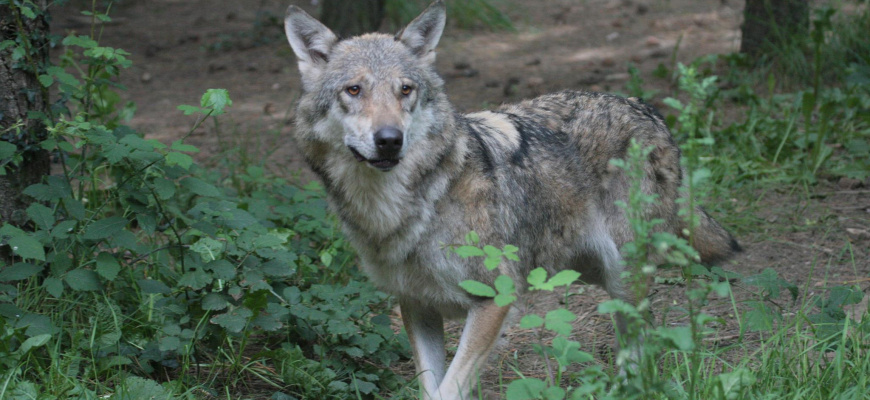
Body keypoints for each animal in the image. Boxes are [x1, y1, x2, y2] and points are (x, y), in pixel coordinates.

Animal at [282, 1, 740, 398]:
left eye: (405, 90)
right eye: (353, 90)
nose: (390, 139)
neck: (410, 206)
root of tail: (647, 109)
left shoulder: (495, 300)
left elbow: (449, 390)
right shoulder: (416, 306)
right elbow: (430, 388)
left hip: (623, 274)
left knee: (645, 342)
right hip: (589, 270)